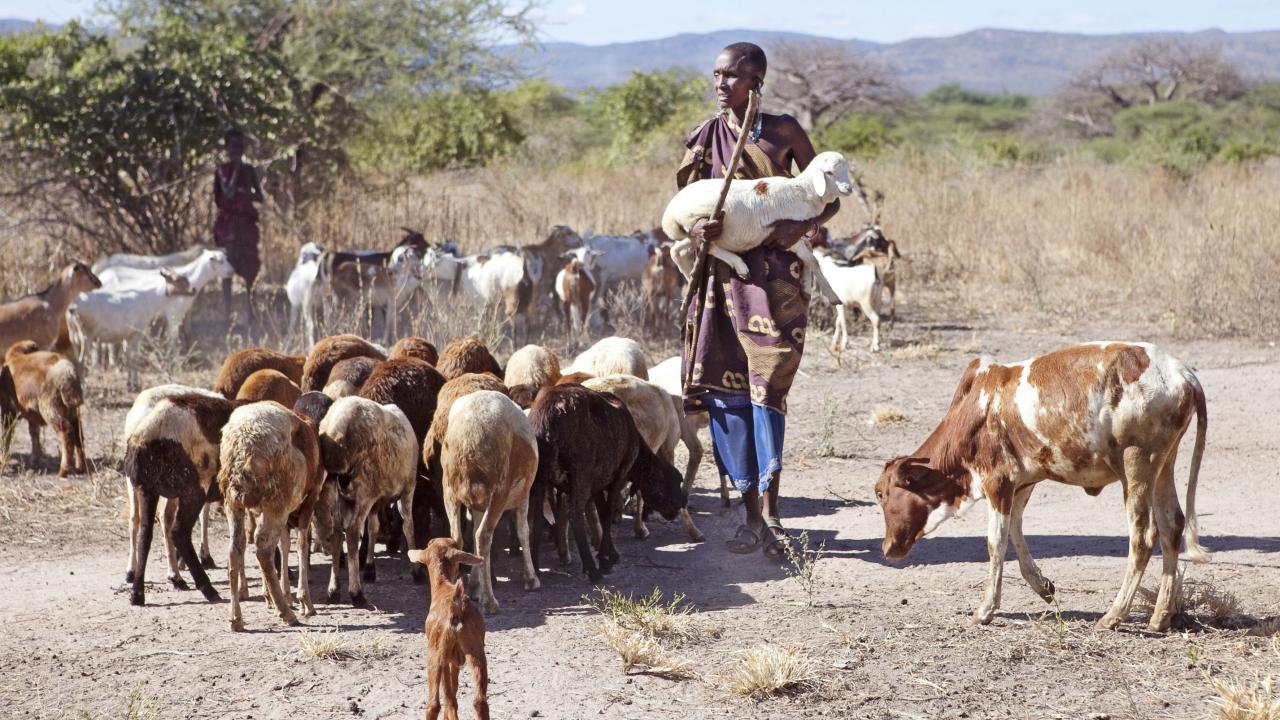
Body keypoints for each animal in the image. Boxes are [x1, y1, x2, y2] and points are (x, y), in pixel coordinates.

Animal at [1, 338, 86, 474]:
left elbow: (7, 434)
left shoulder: (7, 410)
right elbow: (34, 434)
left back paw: (63, 470)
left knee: (66, 432)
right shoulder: (31, 414)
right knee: (78, 434)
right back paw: (81, 466)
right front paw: (34, 461)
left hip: (51, 408)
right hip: (71, 410)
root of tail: (68, 373)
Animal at [665, 149, 855, 301]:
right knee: (709, 246)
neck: (803, 191)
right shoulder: (789, 236)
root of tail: (670, 214)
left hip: (690, 232)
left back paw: (690, 279)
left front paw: (806, 286)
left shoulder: (800, 231)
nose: (849, 189)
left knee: (677, 250)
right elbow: (812, 260)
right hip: (705, 223)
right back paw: (739, 266)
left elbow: (809, 256)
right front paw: (832, 296)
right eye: (829, 172)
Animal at [875, 340, 1203, 627]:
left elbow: (996, 543)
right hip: (1163, 465)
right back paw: (1160, 617)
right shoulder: (1021, 483)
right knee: (1171, 526)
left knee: (1143, 536)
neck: (978, 412)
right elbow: (1015, 532)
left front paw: (985, 610)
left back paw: (1114, 616)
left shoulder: (997, 482)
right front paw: (1042, 585)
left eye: (881, 494)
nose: (887, 547)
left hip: (1137, 462)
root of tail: (1182, 373)